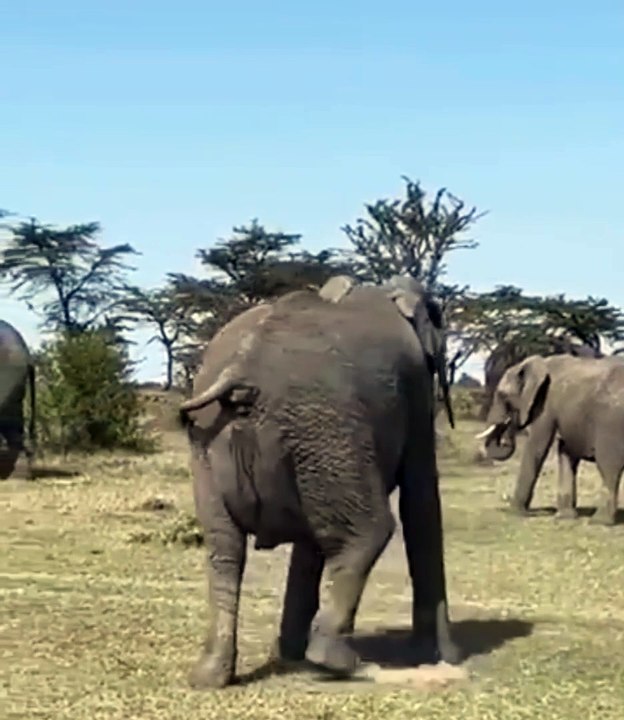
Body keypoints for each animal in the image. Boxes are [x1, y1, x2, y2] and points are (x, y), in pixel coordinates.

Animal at [178, 278, 461, 689]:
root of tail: (242, 367)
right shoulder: (416, 389)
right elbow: (420, 500)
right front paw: (444, 657)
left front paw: (288, 654)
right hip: (327, 426)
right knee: (371, 530)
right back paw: (335, 661)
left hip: (225, 442)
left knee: (225, 550)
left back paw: (210, 676)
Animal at [476, 353, 624, 525]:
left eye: (502, 395)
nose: (507, 433)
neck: (539, 363)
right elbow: (566, 452)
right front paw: (564, 517)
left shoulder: (545, 404)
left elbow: (538, 445)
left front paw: (514, 513)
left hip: (611, 423)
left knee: (608, 465)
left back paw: (599, 521)